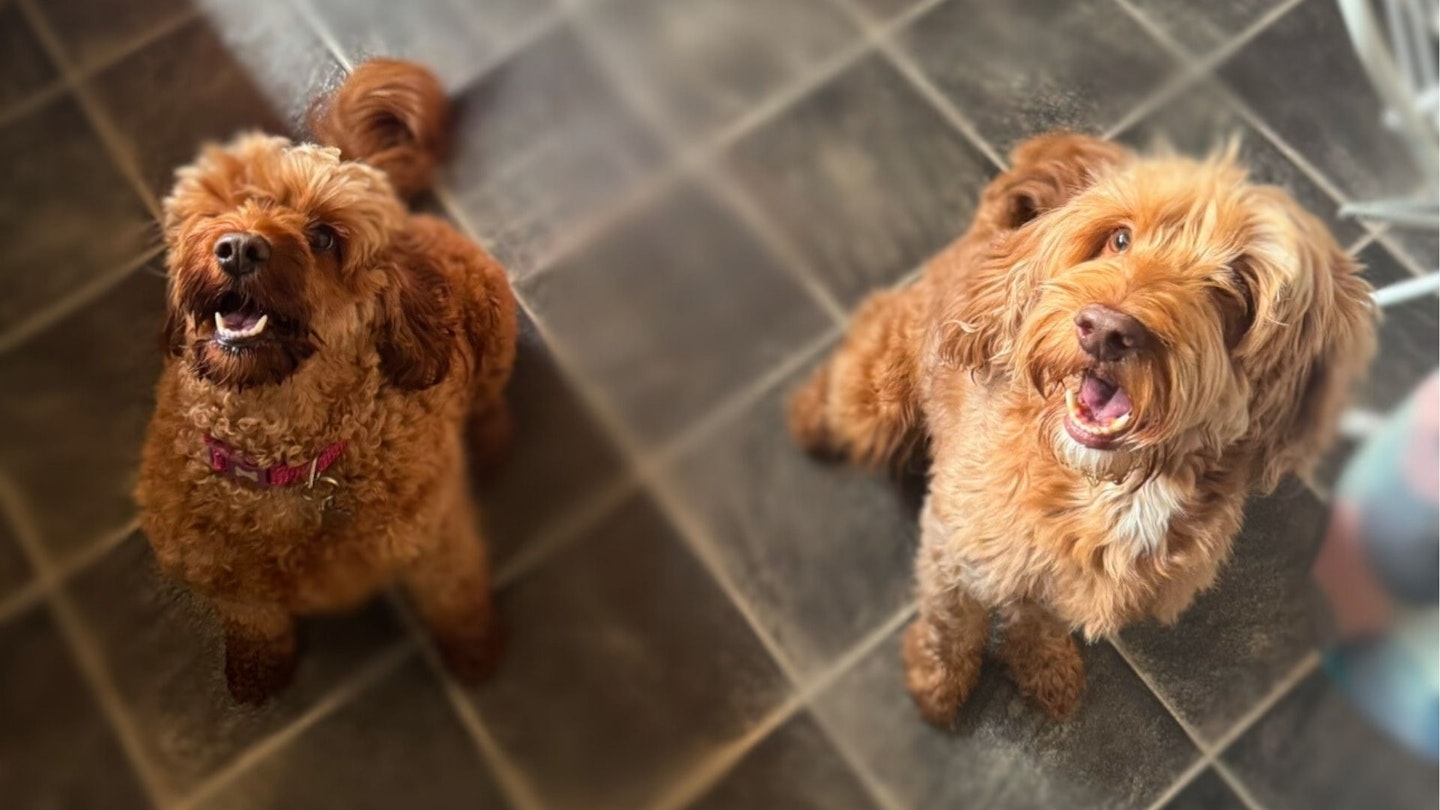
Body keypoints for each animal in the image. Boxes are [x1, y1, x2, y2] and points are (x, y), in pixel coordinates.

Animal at [133, 59, 518, 700]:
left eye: (322, 237)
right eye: (221, 208)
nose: (238, 248)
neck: (280, 458)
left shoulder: (437, 538)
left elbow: (454, 596)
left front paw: (474, 650)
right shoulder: (222, 575)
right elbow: (256, 620)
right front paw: (258, 671)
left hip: (493, 330)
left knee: (490, 405)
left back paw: (489, 448)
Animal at [794, 131, 1376, 717]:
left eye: (1233, 290)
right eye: (1119, 239)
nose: (1106, 330)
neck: (1111, 483)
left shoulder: (1057, 574)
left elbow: (1037, 614)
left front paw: (1042, 663)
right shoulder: (953, 546)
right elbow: (949, 621)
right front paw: (939, 683)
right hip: (877, 397)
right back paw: (807, 415)